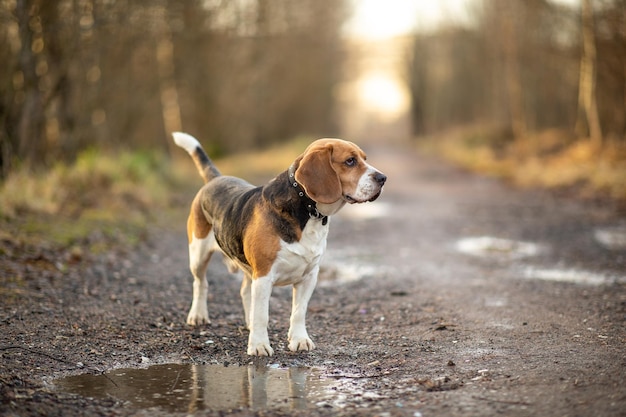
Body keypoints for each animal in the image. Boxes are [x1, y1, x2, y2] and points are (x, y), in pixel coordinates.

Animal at [172, 132, 386, 354]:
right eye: (350, 161)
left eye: (364, 159)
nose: (382, 178)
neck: (308, 211)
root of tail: (216, 178)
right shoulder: (264, 275)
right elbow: (262, 315)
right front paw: (259, 345)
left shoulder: (309, 276)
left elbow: (299, 311)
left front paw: (299, 340)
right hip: (198, 254)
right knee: (200, 283)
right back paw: (198, 315)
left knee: (244, 290)